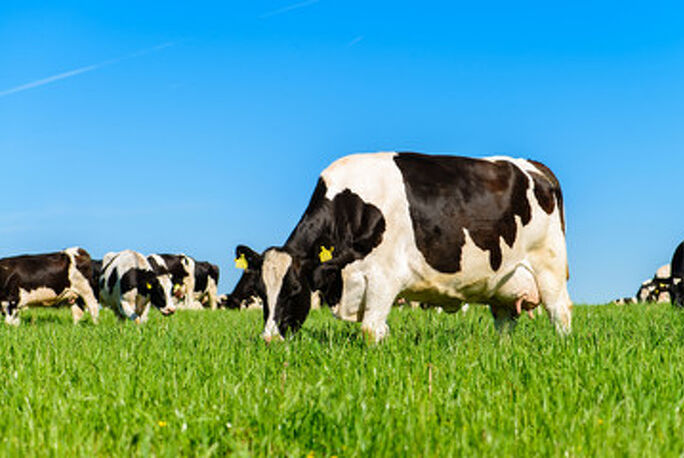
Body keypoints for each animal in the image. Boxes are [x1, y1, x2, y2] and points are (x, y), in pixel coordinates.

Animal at [231, 152, 572, 342]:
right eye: (260, 293)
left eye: (294, 290)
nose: (269, 339)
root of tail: (535, 166)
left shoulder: (385, 277)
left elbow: (371, 330)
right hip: (502, 284)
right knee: (504, 323)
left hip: (549, 266)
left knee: (560, 312)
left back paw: (562, 347)